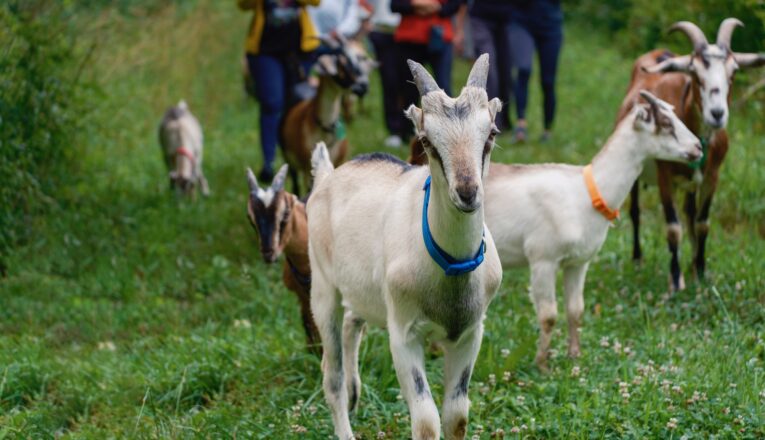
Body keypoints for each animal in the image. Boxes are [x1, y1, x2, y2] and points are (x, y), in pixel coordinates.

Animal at [243, 165, 318, 354]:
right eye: (250, 218)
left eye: (285, 214)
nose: (268, 252)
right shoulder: (302, 295)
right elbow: (309, 324)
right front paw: (313, 354)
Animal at [308, 54, 504, 440]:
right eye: (426, 140)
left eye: (491, 133)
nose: (467, 192)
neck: (448, 267)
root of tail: (326, 176)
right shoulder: (403, 334)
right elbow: (427, 421)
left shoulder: (470, 332)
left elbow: (457, 415)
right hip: (322, 288)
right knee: (331, 376)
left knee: (354, 322)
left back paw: (355, 393)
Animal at [484, 92, 700, 372]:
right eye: (665, 122)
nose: (698, 147)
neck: (586, 193)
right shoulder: (543, 258)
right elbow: (548, 316)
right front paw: (542, 365)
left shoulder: (578, 262)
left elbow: (576, 310)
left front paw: (575, 355)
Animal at [616, 19, 760, 292]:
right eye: (694, 72)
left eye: (734, 71)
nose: (717, 114)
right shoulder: (664, 175)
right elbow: (673, 228)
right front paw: (675, 280)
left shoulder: (712, 175)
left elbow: (702, 223)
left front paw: (700, 272)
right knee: (636, 211)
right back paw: (637, 259)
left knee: (690, 213)